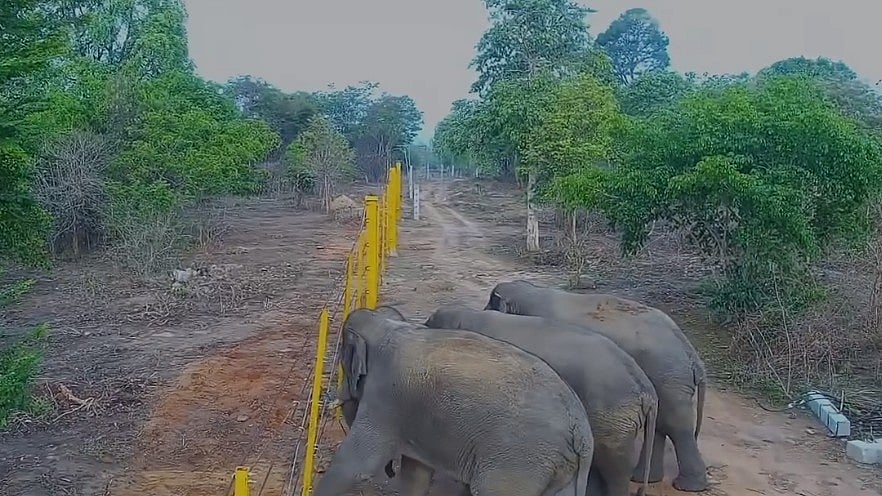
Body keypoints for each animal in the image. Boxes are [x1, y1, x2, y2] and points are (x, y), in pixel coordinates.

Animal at [319, 307, 594, 496]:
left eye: (343, 360)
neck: (388, 325)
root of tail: (581, 429)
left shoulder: (386, 394)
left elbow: (356, 466)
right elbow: (416, 474)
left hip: (520, 460)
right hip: (561, 468)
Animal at [485, 280, 709, 492]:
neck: (531, 291)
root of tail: (689, 351)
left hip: (668, 379)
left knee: (675, 426)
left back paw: (687, 486)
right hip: (668, 382)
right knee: (661, 424)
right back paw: (643, 479)